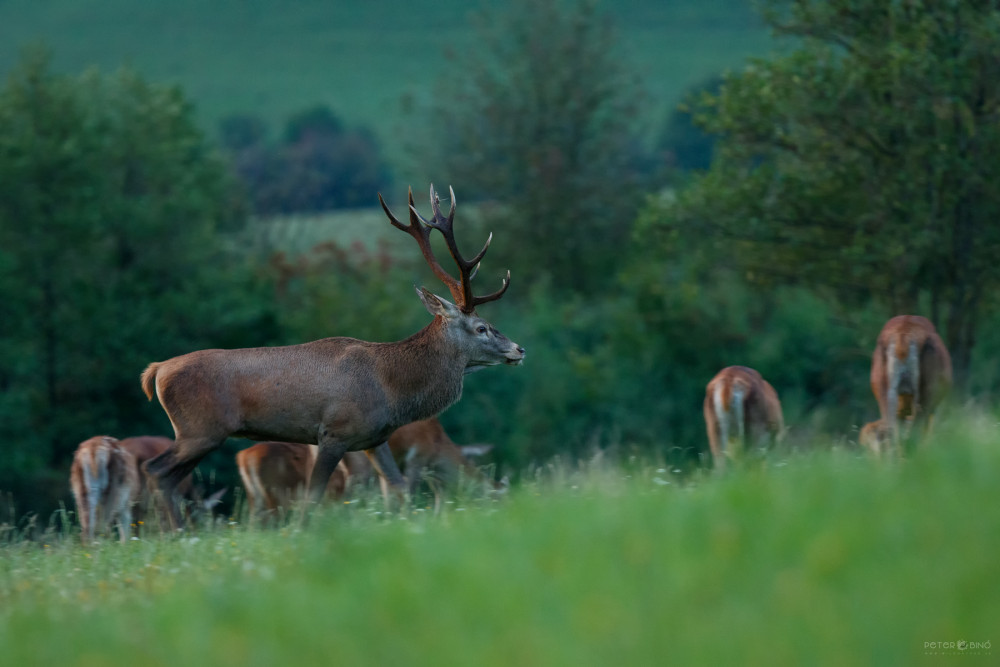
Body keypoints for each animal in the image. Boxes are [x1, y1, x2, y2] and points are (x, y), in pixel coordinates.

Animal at [146, 185, 532, 528]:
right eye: (481, 327)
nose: (519, 349)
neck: (392, 389)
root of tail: (156, 371)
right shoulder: (334, 432)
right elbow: (313, 498)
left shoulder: (374, 438)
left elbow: (399, 489)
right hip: (199, 429)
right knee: (157, 471)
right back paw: (176, 533)